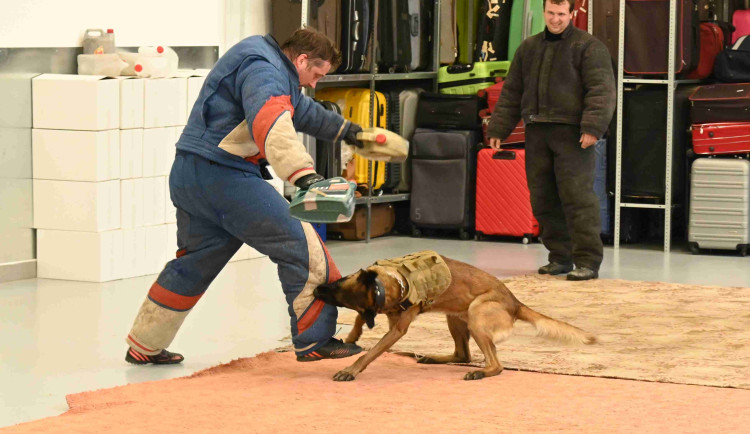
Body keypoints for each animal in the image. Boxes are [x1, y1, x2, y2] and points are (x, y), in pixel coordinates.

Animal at [314, 253, 596, 382]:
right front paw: (353, 334)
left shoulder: (397, 330)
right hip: (455, 319)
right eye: (339, 281)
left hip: (476, 316)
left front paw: (351, 369)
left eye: (340, 297)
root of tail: (515, 302)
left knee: (495, 364)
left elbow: (371, 352)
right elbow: (361, 323)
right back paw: (433, 357)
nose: (316, 290)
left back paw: (480, 372)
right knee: (463, 355)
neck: (394, 282)